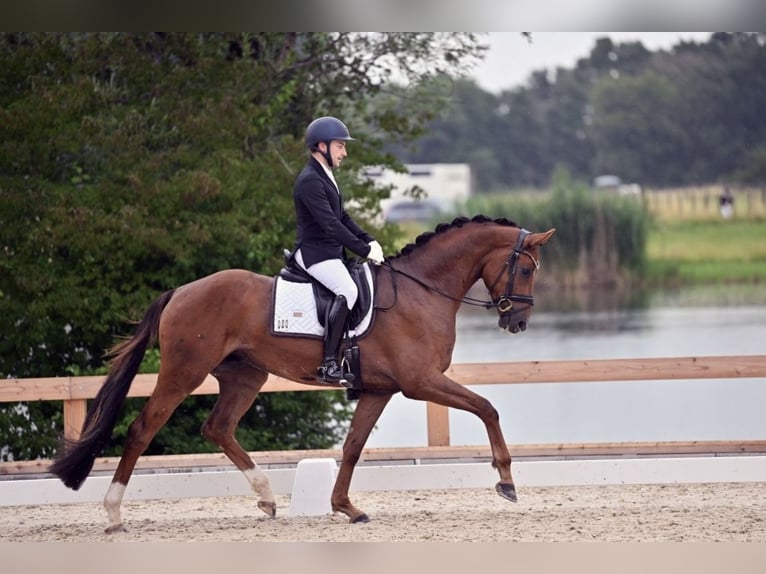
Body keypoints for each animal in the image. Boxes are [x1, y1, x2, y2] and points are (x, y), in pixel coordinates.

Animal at [49, 216, 560, 536]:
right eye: (526, 268)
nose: (518, 323)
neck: (422, 290)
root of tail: (180, 291)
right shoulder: (420, 382)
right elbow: (487, 408)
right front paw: (506, 481)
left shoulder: (381, 389)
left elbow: (352, 446)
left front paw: (346, 507)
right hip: (184, 371)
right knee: (143, 429)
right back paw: (114, 513)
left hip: (244, 376)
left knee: (218, 427)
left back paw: (266, 498)